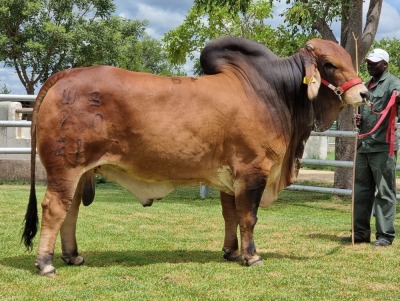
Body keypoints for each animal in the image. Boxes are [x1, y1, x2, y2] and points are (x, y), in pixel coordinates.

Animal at [21, 36, 366, 276]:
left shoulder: (230, 178)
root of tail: (66, 75)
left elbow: (230, 215)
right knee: (55, 208)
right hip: (65, 167)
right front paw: (252, 256)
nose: (362, 93)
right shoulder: (253, 170)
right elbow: (249, 216)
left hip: (79, 171)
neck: (276, 92)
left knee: (72, 210)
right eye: (330, 64)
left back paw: (72, 256)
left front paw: (231, 252)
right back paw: (45, 263)